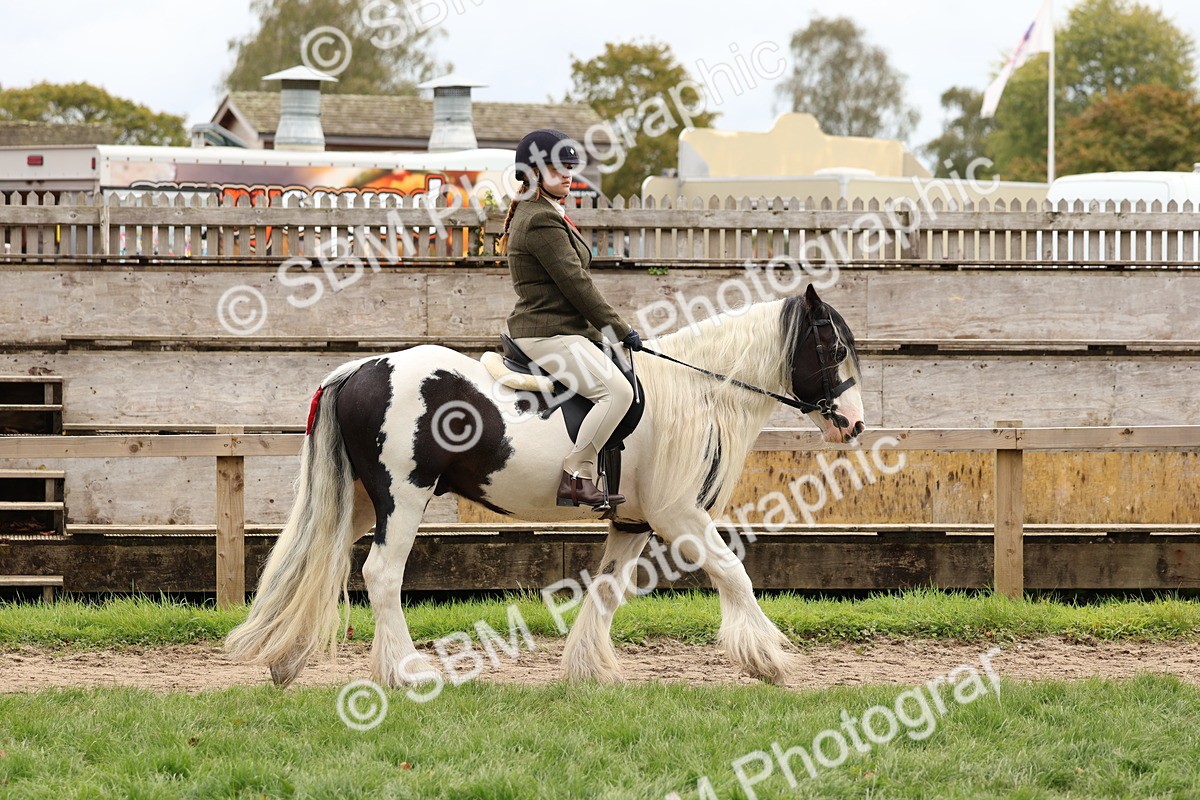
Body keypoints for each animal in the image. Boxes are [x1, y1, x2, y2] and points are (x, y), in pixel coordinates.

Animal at [225, 283, 866, 688]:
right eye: (833, 347)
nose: (855, 425)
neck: (693, 391)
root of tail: (360, 367)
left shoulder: (633, 522)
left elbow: (608, 590)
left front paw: (587, 671)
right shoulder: (679, 516)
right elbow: (733, 573)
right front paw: (769, 661)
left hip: (363, 501)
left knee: (320, 558)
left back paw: (287, 659)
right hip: (403, 498)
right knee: (381, 574)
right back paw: (408, 672)